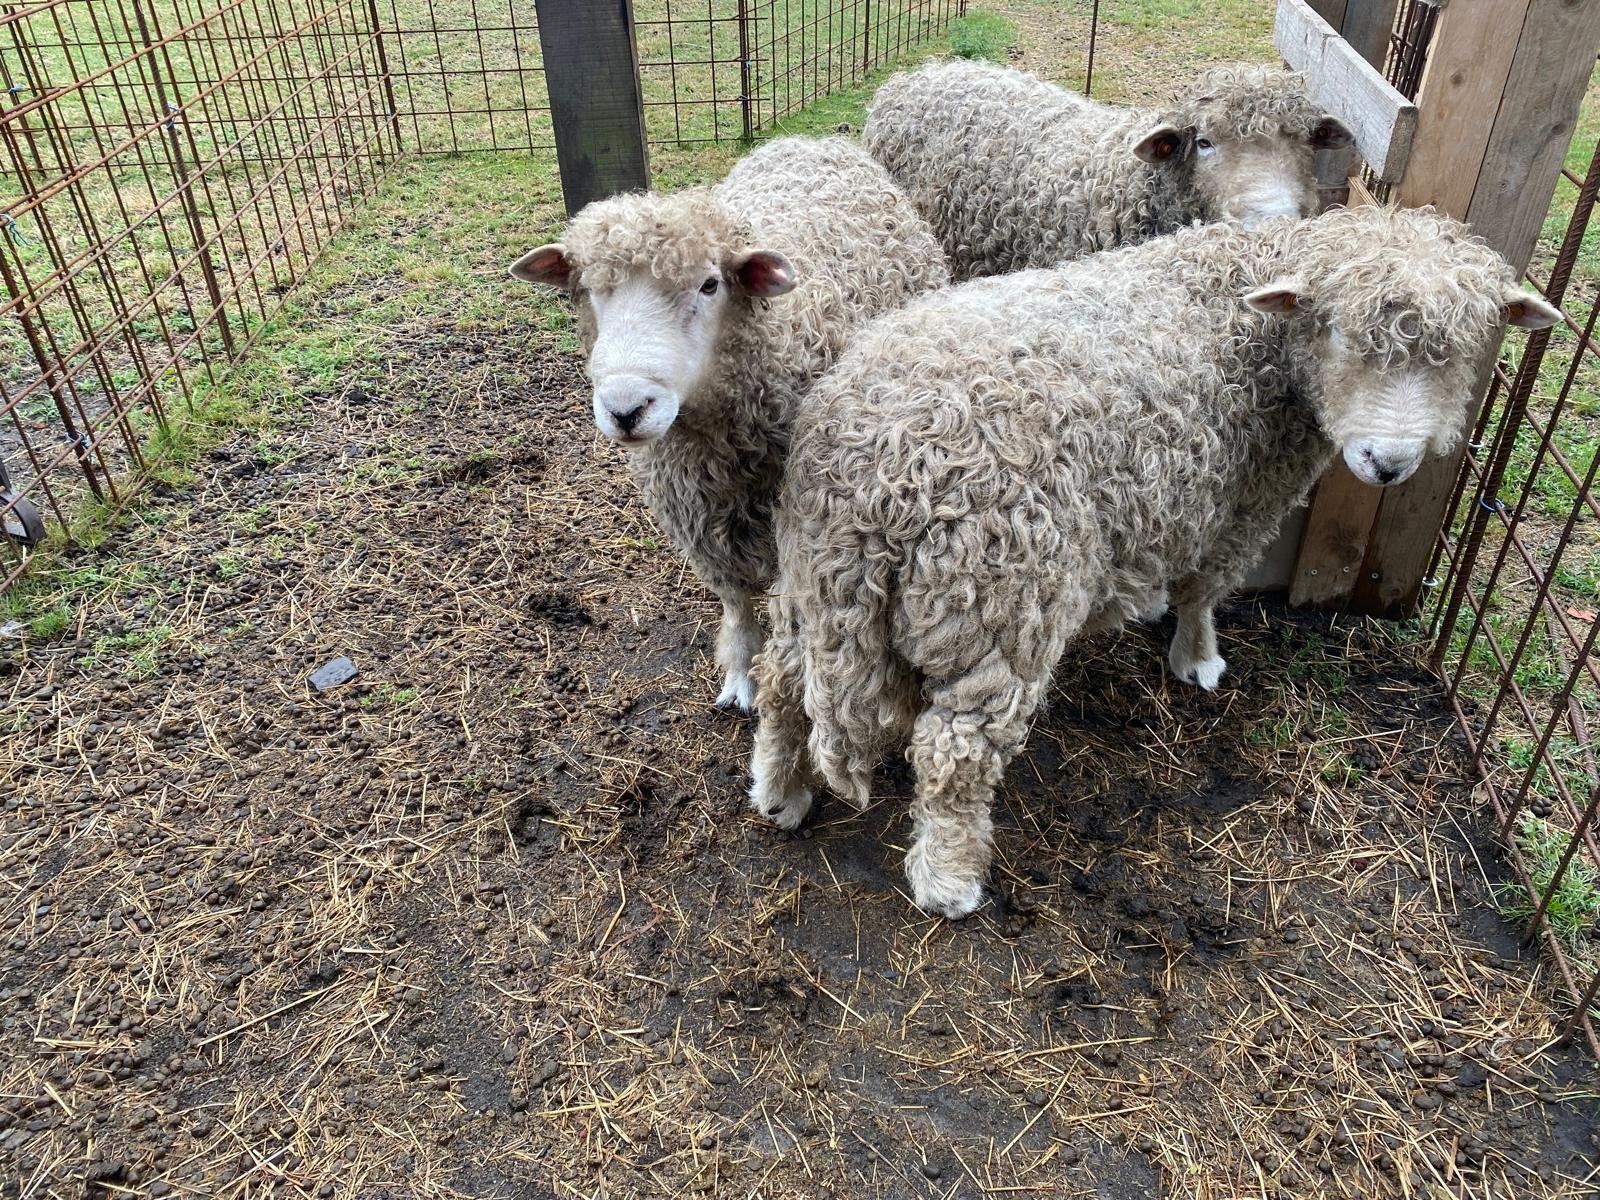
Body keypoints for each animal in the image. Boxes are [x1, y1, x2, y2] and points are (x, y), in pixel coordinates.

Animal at [508, 136, 949, 710]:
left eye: (710, 285)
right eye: (585, 288)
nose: (626, 409)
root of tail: (813, 140)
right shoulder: (696, 517)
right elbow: (736, 601)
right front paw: (740, 671)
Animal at [747, 205, 1561, 919]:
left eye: (1462, 350)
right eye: (1332, 329)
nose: (1387, 463)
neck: (1254, 322)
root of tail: (879, 473)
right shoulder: (1242, 500)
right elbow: (1205, 586)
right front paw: (1197, 657)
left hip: (813, 581)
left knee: (781, 680)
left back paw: (779, 791)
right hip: (1001, 600)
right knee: (956, 751)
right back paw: (950, 882)